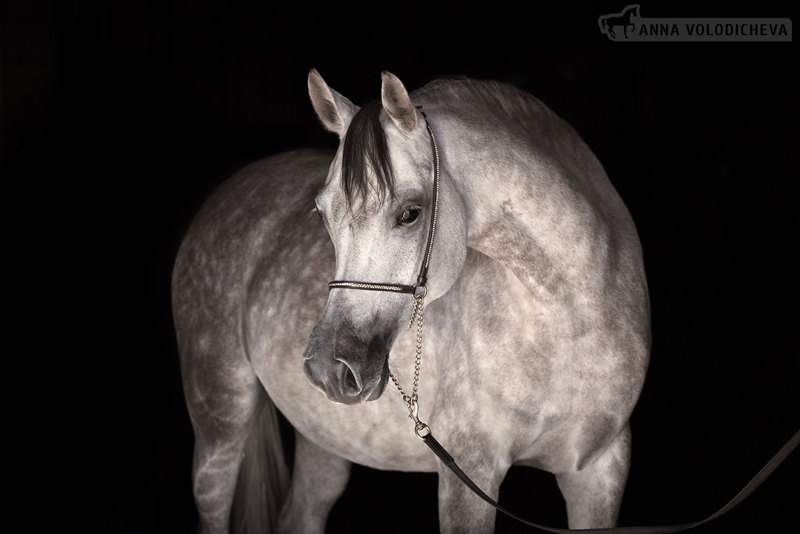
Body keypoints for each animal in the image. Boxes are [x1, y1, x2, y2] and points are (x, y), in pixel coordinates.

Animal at [173, 71, 648, 534]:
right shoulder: (470, 473)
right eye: (323, 214)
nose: (329, 367)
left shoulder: (600, 468)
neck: (571, 321)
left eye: (410, 213)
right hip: (221, 420)